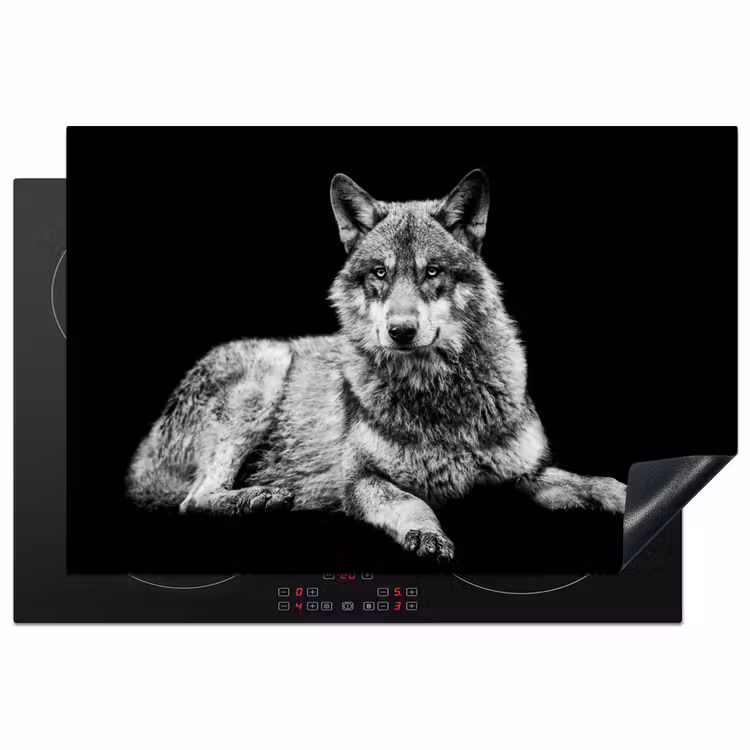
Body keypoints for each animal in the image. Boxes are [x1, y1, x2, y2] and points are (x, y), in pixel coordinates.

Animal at [127, 169, 626, 561]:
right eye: (380, 273)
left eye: (431, 272)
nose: (400, 331)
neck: (438, 396)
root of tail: (144, 451)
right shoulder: (360, 480)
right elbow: (410, 502)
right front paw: (426, 535)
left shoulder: (528, 474)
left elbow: (594, 482)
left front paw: (624, 495)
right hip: (265, 373)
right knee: (193, 500)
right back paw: (260, 498)